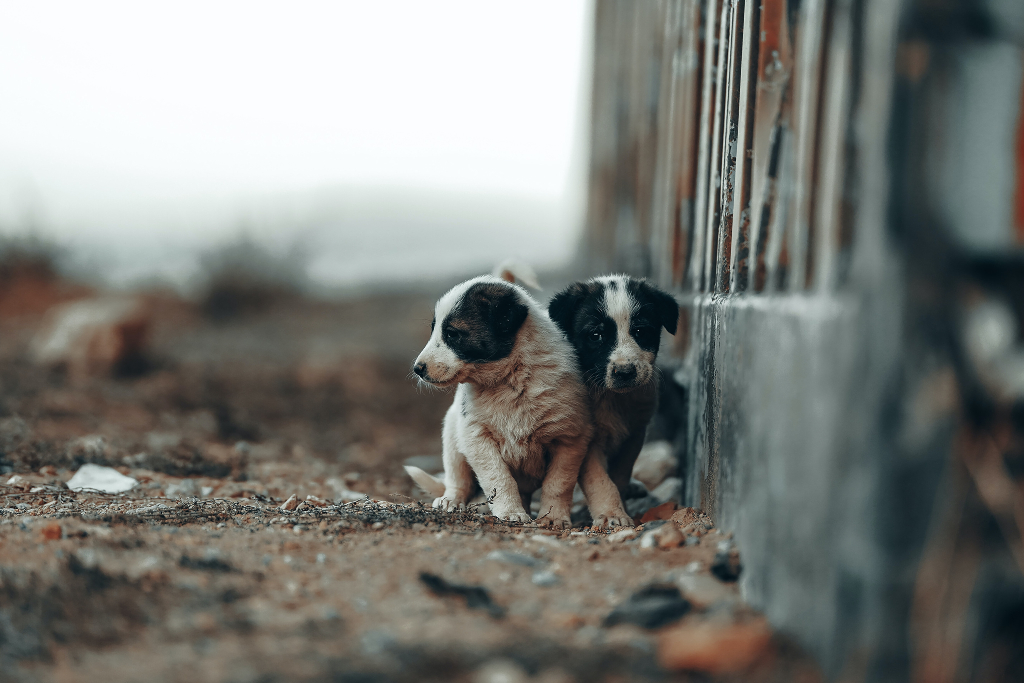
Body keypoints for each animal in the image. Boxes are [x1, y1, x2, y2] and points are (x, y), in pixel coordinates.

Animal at [401, 270, 589, 528]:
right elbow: (499, 478)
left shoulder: (570, 439)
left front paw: (554, 517)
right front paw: (510, 512)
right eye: (434, 330)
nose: (417, 369)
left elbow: (559, 483)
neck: (511, 380)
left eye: (452, 334)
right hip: (452, 436)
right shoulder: (476, 436)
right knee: (457, 477)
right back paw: (451, 500)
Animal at [548, 274, 675, 528]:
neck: (612, 399)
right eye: (596, 336)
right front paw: (611, 514)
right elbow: (600, 480)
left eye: (640, 331)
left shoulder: (634, 435)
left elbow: (619, 477)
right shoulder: (586, 442)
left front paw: (620, 506)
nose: (624, 372)